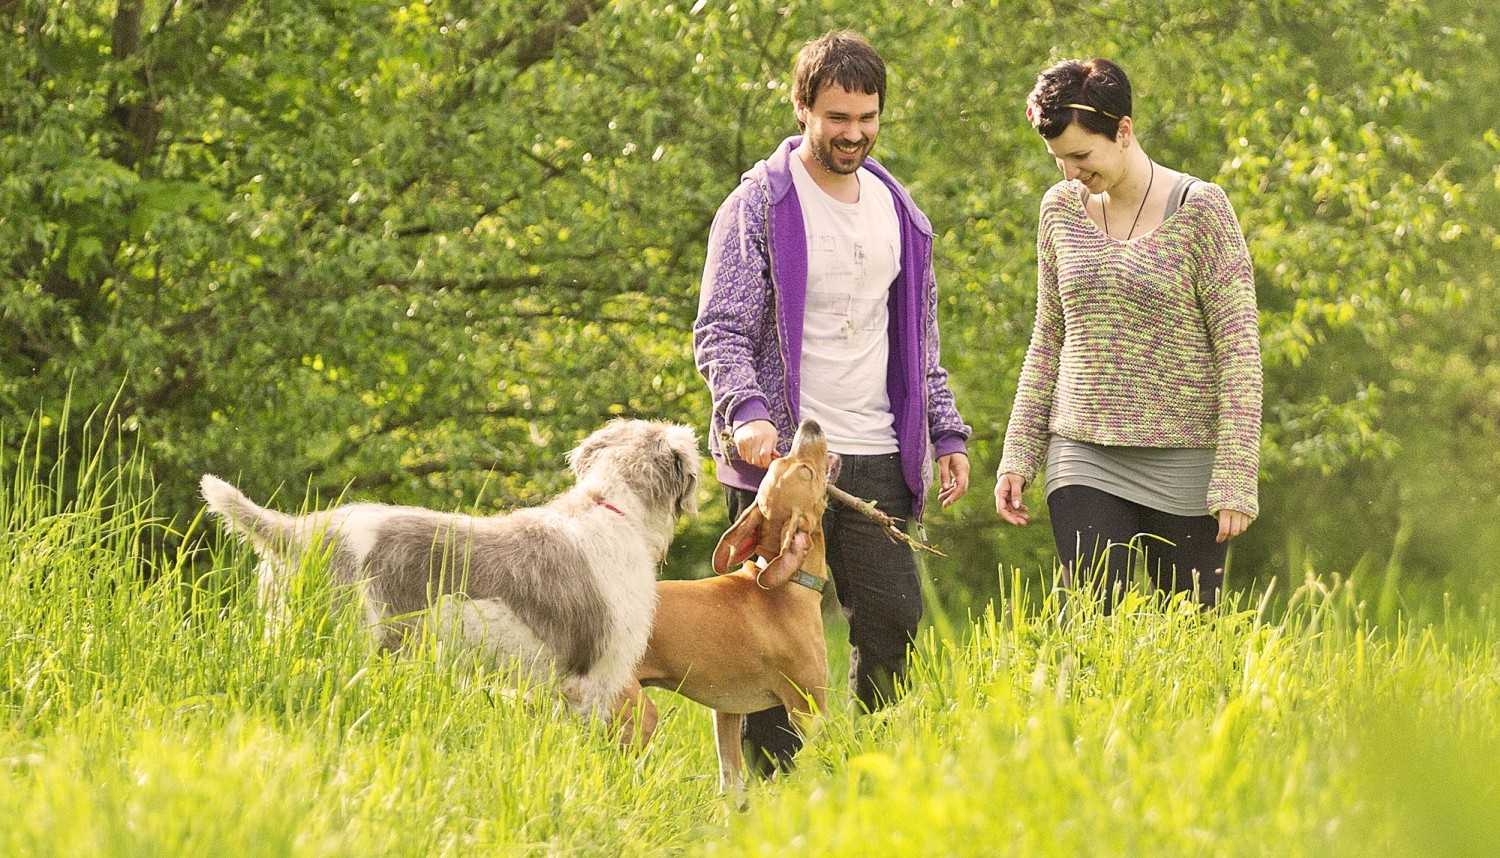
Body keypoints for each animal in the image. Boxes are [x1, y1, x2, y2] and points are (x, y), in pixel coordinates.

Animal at [618, 420, 840, 792]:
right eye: (807, 471)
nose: (810, 425)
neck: (784, 583)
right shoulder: (808, 708)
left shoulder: (727, 712)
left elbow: (731, 781)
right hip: (635, 716)